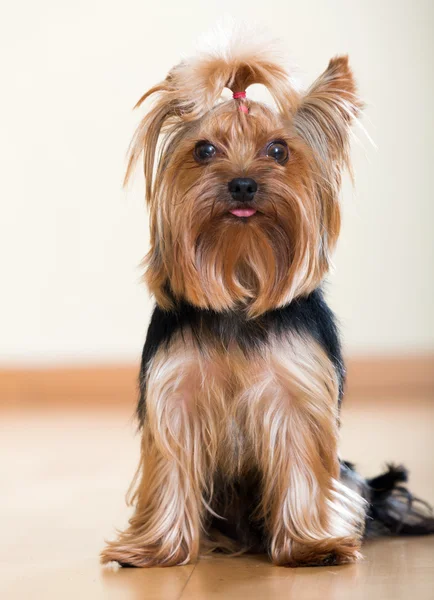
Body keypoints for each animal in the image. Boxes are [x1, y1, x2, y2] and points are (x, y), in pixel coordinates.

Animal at [101, 36, 434, 568]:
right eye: (204, 149)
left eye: (278, 150)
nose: (242, 183)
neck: (241, 279)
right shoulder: (175, 396)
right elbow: (172, 467)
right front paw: (156, 549)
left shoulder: (297, 395)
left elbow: (301, 464)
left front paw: (312, 545)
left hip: (350, 475)